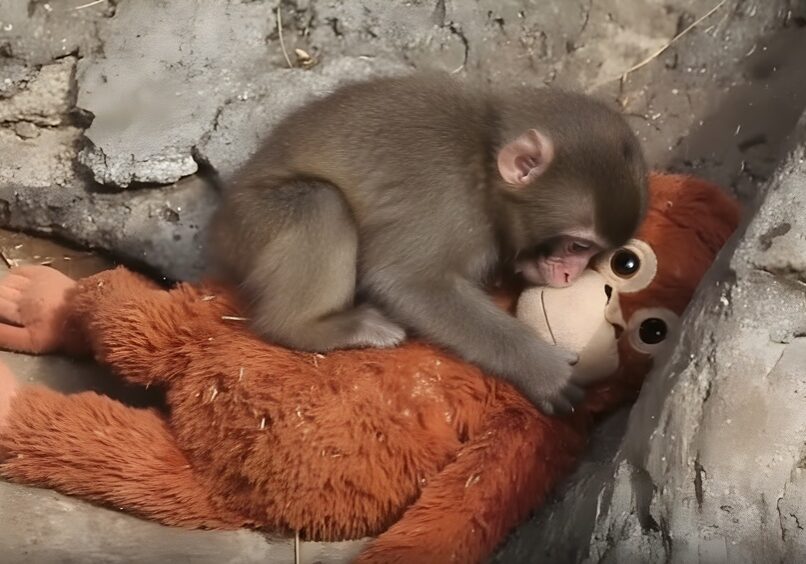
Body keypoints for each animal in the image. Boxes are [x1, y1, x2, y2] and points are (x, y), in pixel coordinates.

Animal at [207, 71, 648, 414]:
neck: (483, 166)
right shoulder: (447, 204)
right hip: (253, 224)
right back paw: (310, 328)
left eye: (595, 252)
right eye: (577, 245)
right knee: (321, 204)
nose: (571, 273)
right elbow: (406, 281)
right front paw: (543, 370)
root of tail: (221, 226)